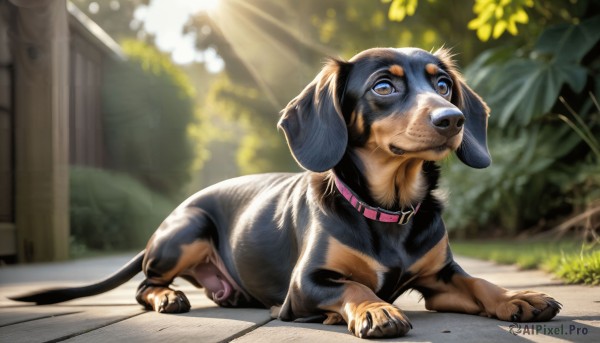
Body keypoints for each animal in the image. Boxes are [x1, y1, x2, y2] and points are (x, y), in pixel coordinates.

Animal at [10, 47, 564, 338]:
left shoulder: (441, 278)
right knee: (146, 284)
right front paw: (376, 309)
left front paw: (518, 297)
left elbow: (479, 284)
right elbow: (354, 287)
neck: (386, 210)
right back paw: (168, 296)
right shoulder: (307, 285)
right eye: (384, 87)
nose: (452, 120)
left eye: (443, 85)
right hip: (187, 231)